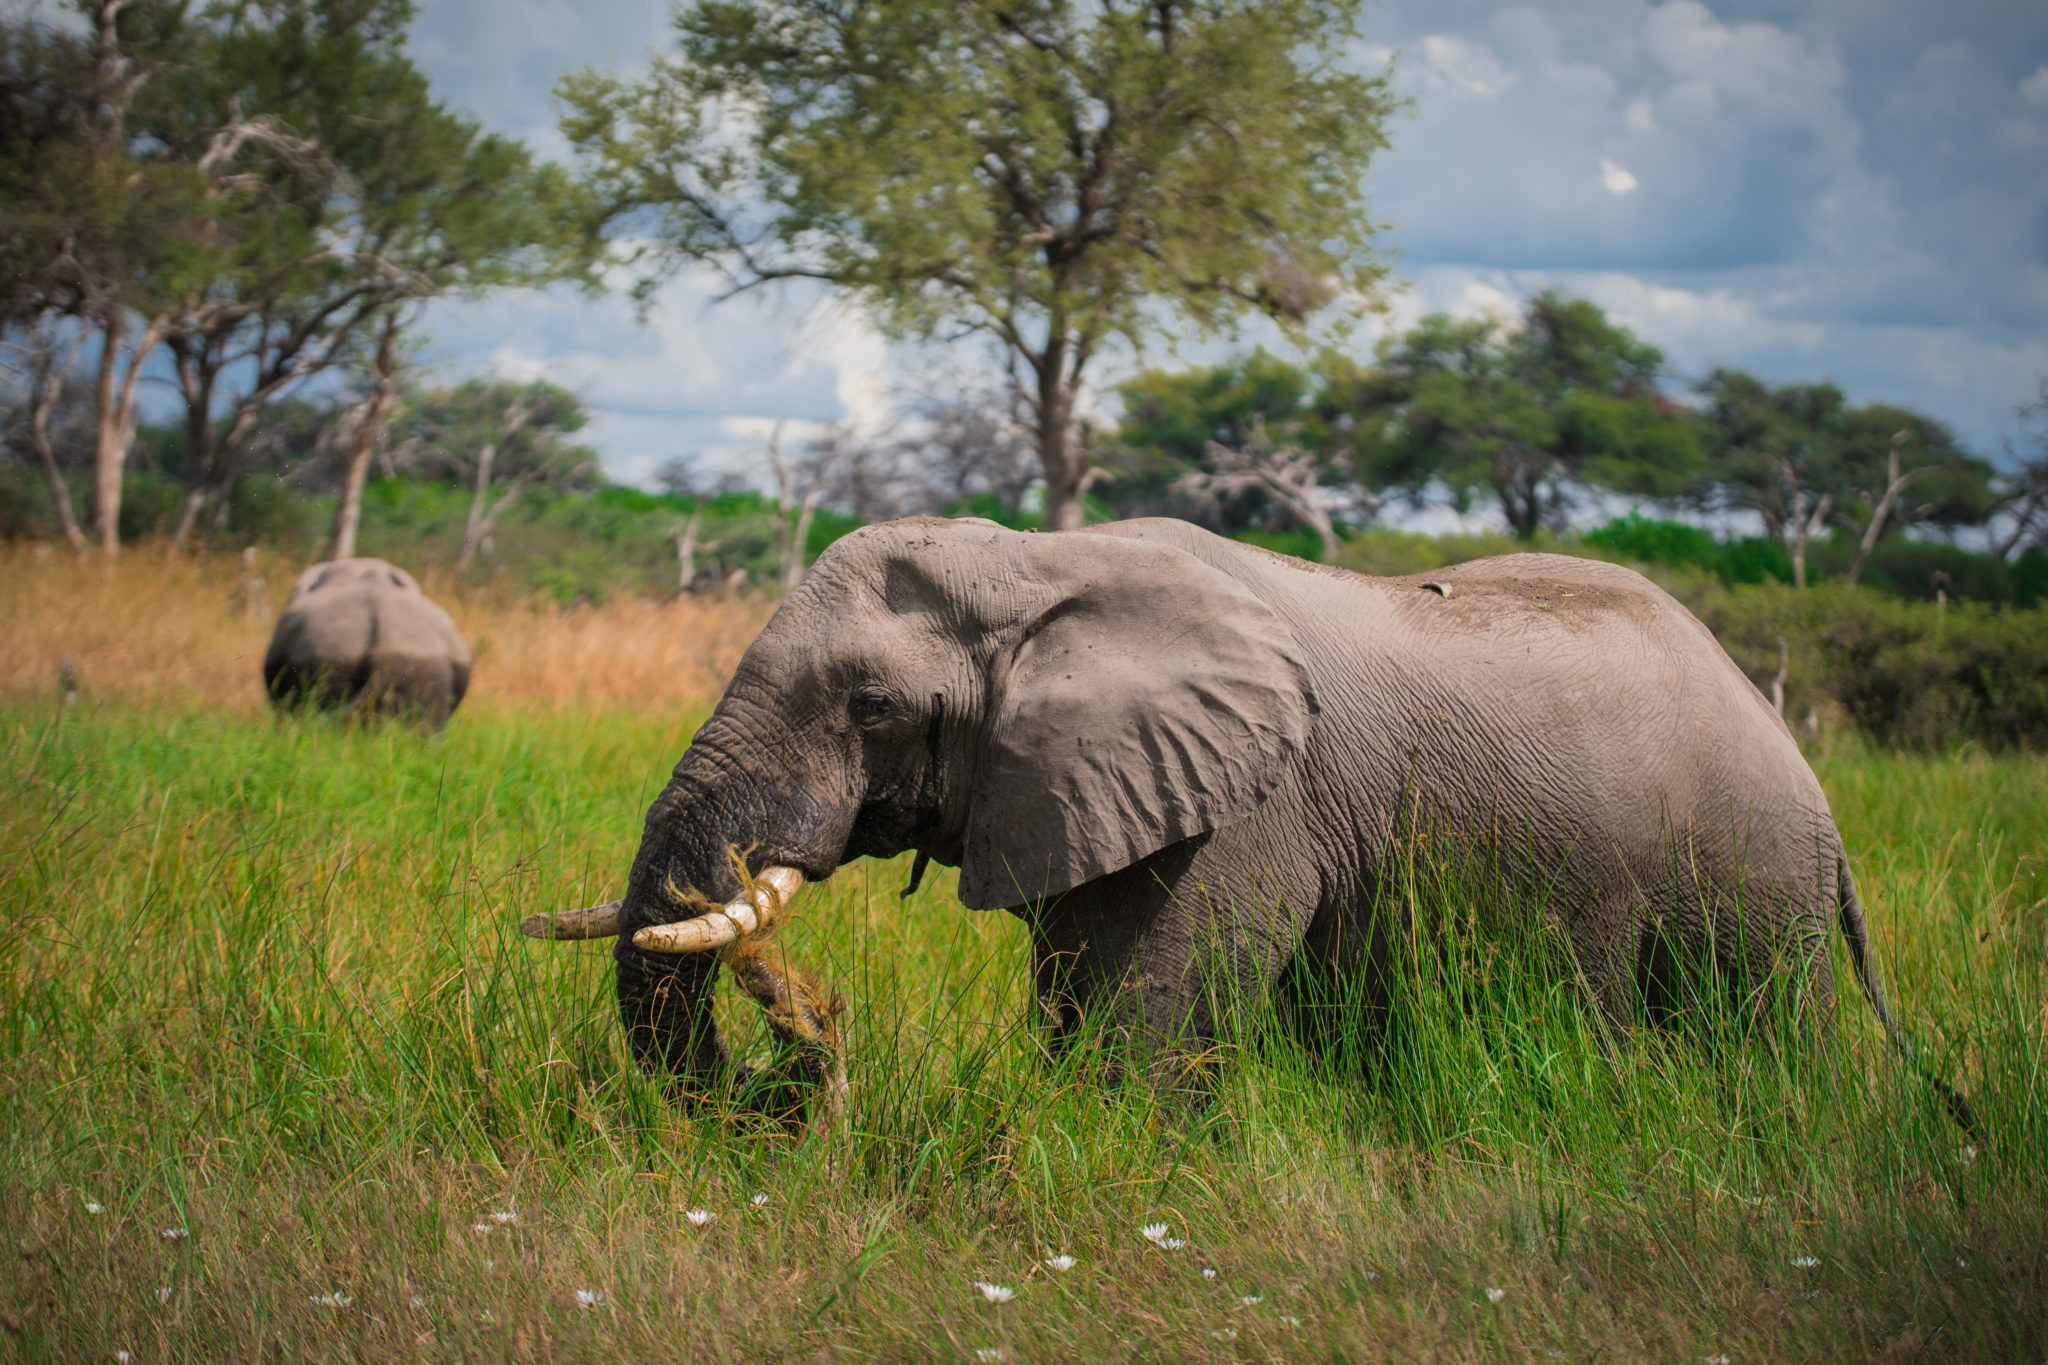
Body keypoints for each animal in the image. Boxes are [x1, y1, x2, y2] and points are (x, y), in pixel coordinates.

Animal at [537, 516, 1968, 1123]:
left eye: (872, 705)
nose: (794, 1061)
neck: (1040, 558)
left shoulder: (1245, 808)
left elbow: (1143, 1011)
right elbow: (1080, 986)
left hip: (1757, 871)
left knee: (1761, 1033)